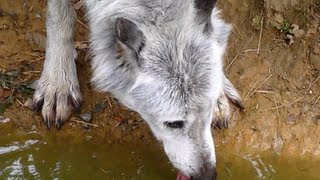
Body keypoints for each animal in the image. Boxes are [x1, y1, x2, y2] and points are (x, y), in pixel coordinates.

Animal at [32, 0, 242, 179]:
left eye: (209, 110)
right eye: (173, 124)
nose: (207, 176)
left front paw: (221, 91)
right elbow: (59, 16)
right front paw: (58, 81)